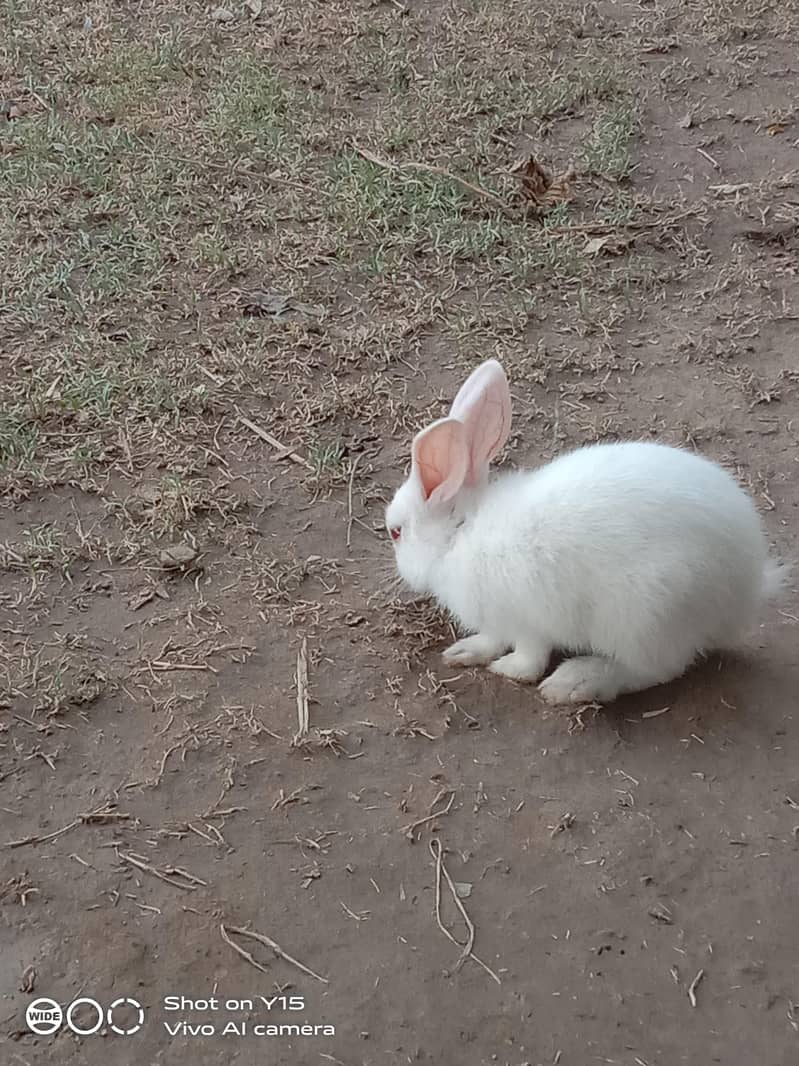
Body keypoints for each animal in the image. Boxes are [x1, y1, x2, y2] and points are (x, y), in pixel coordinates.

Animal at [385, 358, 785, 705]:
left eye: (396, 532)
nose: (398, 568)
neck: (461, 533)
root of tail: (746, 592)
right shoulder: (499, 622)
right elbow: (492, 638)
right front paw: (465, 651)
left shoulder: (527, 622)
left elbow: (529, 658)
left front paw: (509, 670)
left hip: (646, 614)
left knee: (656, 669)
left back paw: (576, 682)